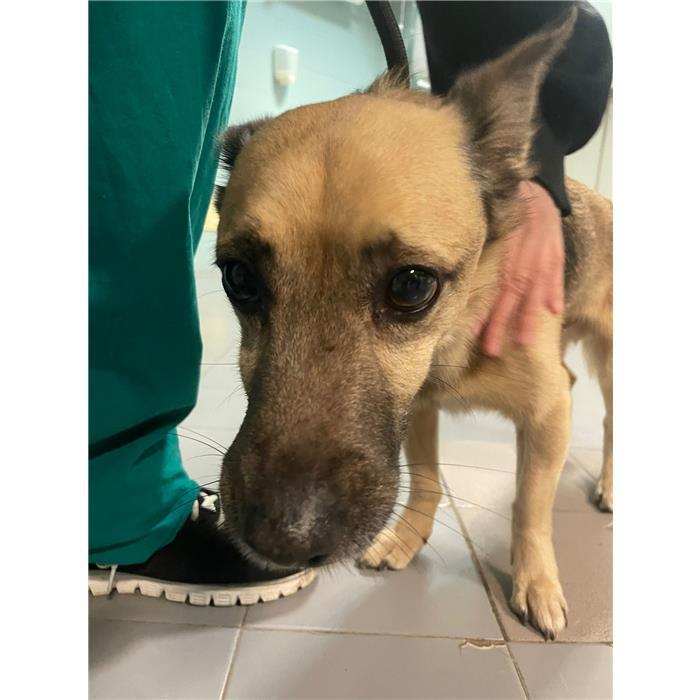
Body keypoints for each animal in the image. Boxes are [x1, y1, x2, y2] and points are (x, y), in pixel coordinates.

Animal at [213, 8, 611, 640]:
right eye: (239, 278)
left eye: (411, 286)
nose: (281, 541)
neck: (455, 340)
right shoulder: (419, 408)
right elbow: (425, 479)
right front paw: (409, 536)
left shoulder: (548, 411)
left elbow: (531, 504)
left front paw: (537, 580)